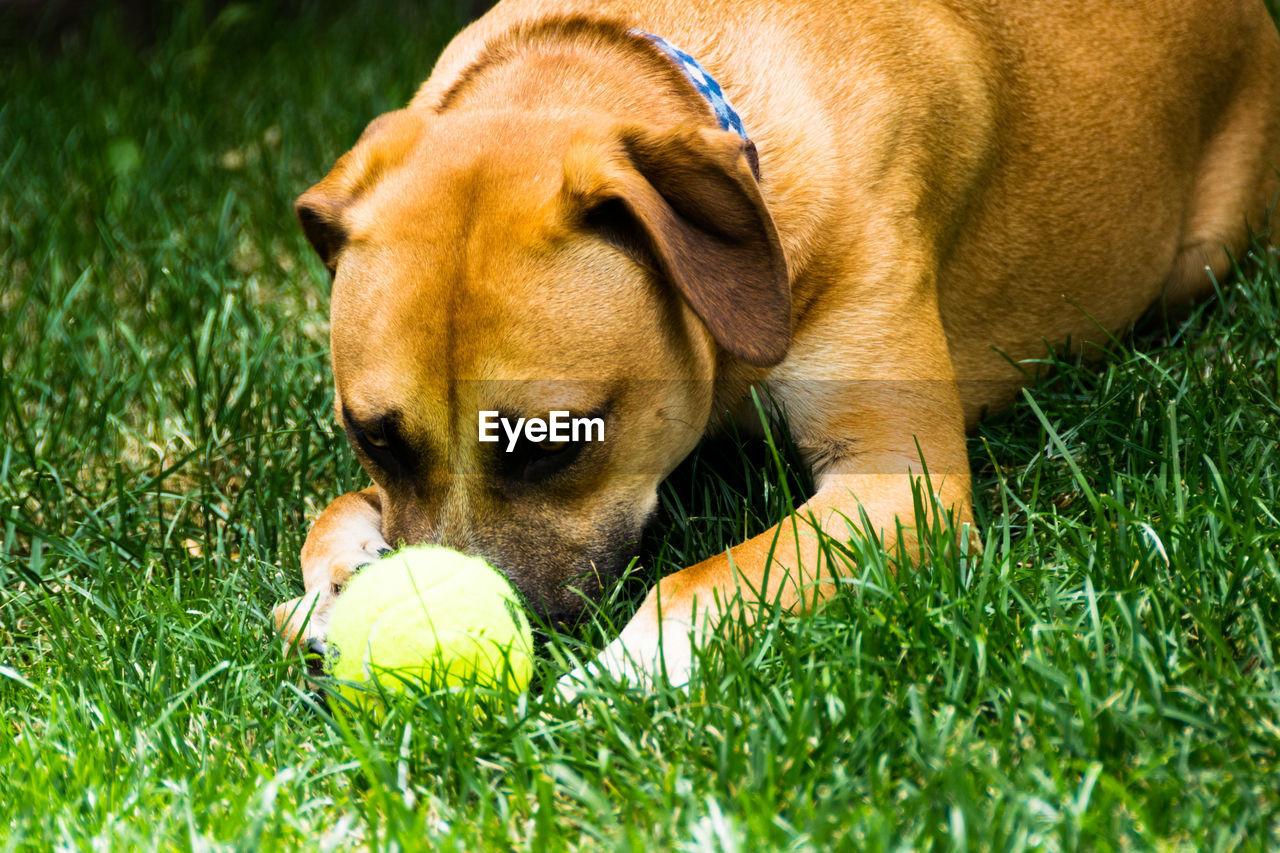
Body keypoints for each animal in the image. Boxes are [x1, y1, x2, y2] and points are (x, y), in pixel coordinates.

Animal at [272, 0, 1280, 686]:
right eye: (372, 436)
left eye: (552, 444)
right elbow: (335, 509)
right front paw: (333, 586)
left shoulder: (897, 485)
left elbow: (696, 584)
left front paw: (607, 682)